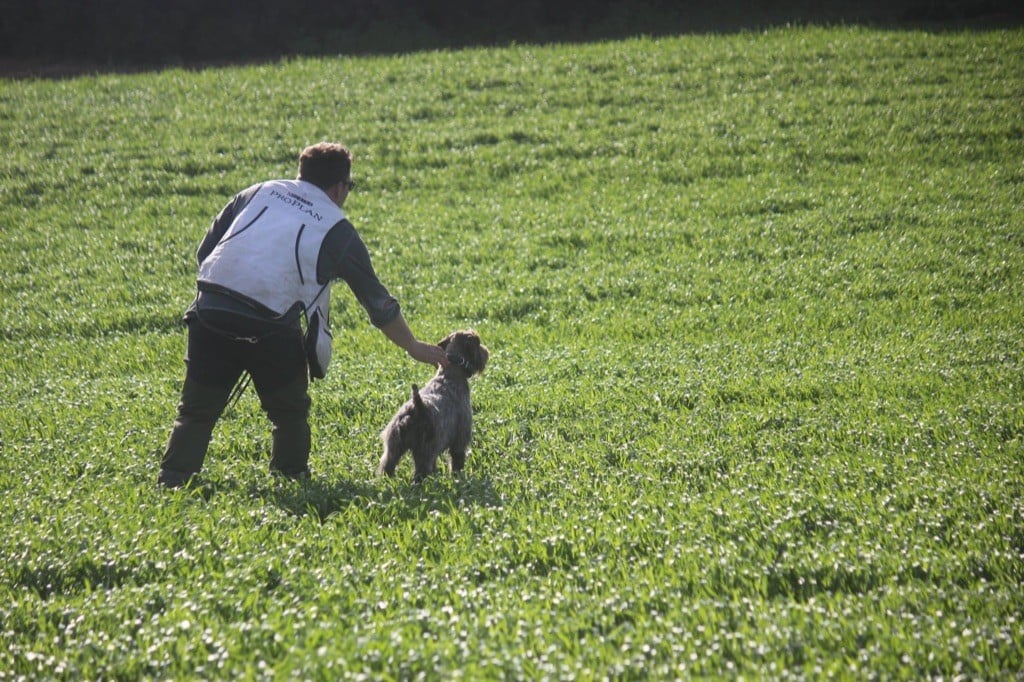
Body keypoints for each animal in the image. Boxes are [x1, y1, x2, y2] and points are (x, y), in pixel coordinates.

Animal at [378, 327, 489, 477]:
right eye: (478, 343)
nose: (486, 351)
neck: (450, 372)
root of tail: (417, 407)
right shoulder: (460, 440)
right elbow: (457, 460)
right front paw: (458, 476)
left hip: (394, 447)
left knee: (387, 466)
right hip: (425, 452)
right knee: (420, 473)